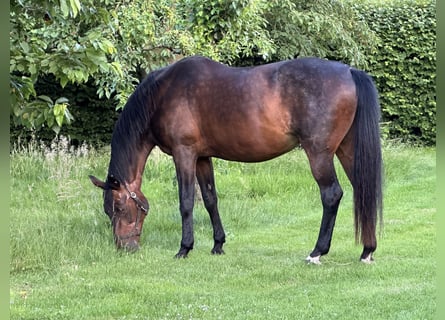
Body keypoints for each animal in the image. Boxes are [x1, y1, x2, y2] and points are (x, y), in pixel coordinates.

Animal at [89, 55, 382, 264]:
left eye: (118, 207)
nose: (125, 247)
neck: (162, 93)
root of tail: (349, 72)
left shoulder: (184, 154)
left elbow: (186, 202)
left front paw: (184, 249)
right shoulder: (202, 157)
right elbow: (210, 199)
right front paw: (218, 244)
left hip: (319, 153)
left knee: (331, 195)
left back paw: (317, 252)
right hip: (347, 150)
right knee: (362, 190)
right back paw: (367, 250)